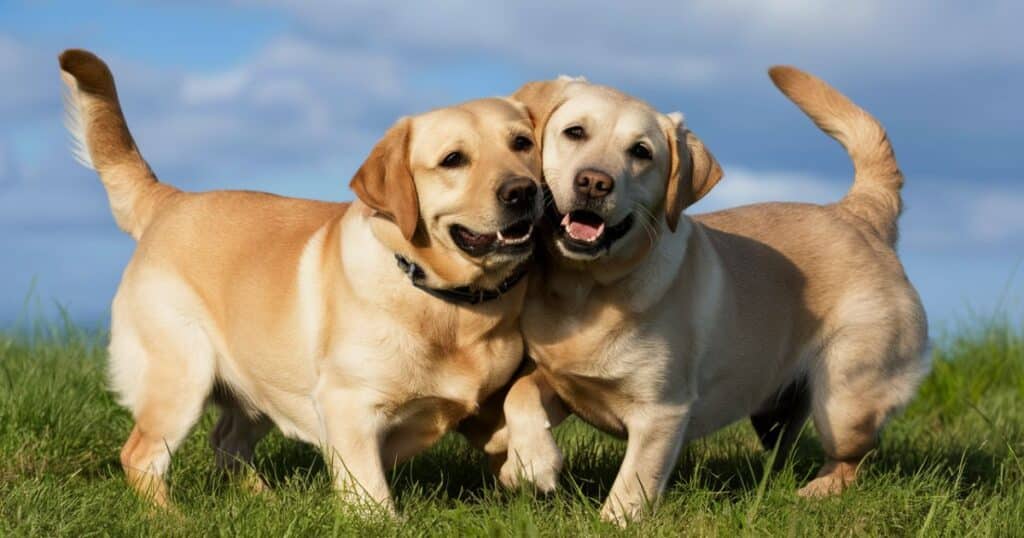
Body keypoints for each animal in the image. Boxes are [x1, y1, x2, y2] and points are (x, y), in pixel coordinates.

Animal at [58, 47, 544, 512]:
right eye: (453, 160)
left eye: (522, 143)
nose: (522, 191)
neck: (447, 300)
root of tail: (170, 199)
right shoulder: (349, 407)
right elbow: (370, 493)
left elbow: (517, 408)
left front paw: (529, 463)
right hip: (181, 374)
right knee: (141, 456)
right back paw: (175, 519)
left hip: (258, 379)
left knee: (226, 442)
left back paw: (262, 499)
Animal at [495, 69, 929, 522]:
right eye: (575, 132)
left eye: (641, 152)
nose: (595, 182)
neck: (584, 289)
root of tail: (859, 212)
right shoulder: (564, 380)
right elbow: (518, 394)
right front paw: (528, 463)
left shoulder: (661, 413)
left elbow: (633, 481)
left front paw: (614, 520)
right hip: (776, 416)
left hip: (845, 401)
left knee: (854, 457)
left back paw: (817, 492)